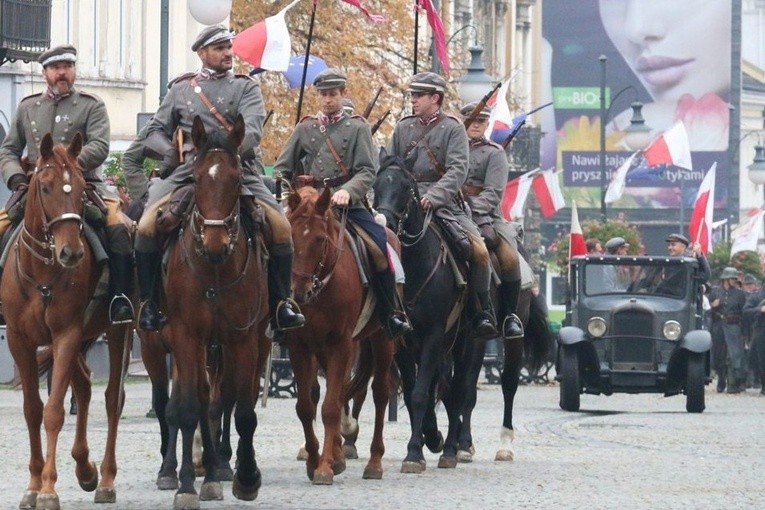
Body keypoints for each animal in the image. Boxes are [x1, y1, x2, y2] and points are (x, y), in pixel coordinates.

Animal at [1, 133, 133, 508]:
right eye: (44, 187)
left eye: (79, 189)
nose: (71, 253)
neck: (43, 270)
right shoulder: (19, 340)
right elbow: (33, 409)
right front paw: (33, 485)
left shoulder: (66, 334)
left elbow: (54, 411)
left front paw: (48, 488)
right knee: (86, 386)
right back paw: (84, 469)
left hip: (119, 332)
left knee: (112, 399)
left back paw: (105, 479)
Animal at [157, 115, 268, 510]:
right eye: (196, 178)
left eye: (236, 179)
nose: (216, 243)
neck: (215, 268)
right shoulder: (185, 336)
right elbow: (189, 406)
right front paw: (187, 486)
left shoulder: (244, 337)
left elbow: (245, 411)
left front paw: (247, 478)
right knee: (200, 400)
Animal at [286, 186, 394, 482]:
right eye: (291, 236)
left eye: (320, 239)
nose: (299, 292)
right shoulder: (300, 346)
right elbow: (306, 406)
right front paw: (316, 460)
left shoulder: (341, 344)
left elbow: (331, 407)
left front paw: (324, 467)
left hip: (383, 339)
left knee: (380, 393)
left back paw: (374, 462)